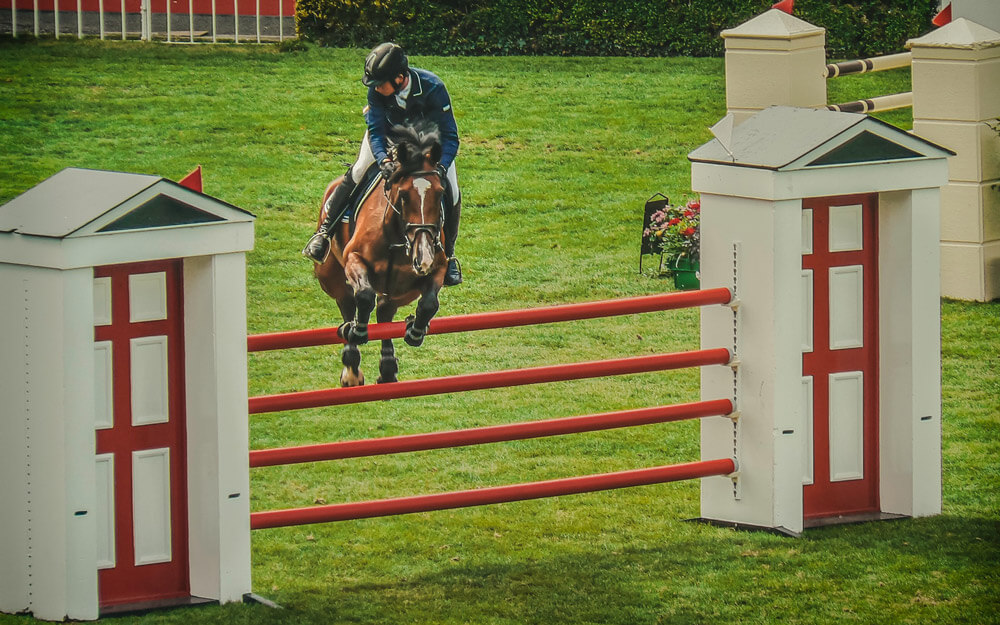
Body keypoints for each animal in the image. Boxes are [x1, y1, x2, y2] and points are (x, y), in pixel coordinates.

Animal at [314, 122, 448, 386]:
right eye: (404, 196)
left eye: (440, 193)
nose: (424, 257)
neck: (397, 237)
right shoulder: (353, 259)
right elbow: (364, 296)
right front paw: (358, 331)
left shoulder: (436, 269)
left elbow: (429, 302)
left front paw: (415, 331)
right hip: (329, 275)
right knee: (347, 302)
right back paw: (351, 364)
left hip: (397, 291)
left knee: (385, 311)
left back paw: (387, 368)